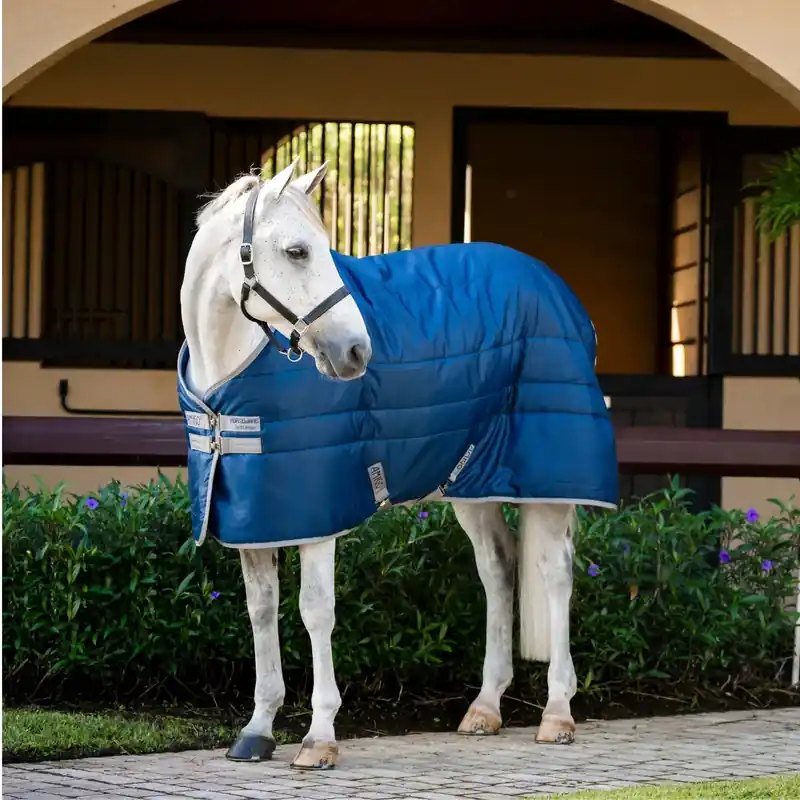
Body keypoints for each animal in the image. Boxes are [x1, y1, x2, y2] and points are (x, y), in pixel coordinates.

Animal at [178, 158, 618, 770]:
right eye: (296, 251)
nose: (356, 353)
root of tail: (559, 291)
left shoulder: (319, 515)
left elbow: (315, 610)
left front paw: (319, 738)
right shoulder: (256, 516)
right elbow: (261, 611)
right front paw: (257, 730)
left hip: (548, 481)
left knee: (555, 573)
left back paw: (557, 713)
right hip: (470, 483)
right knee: (498, 567)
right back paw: (484, 708)